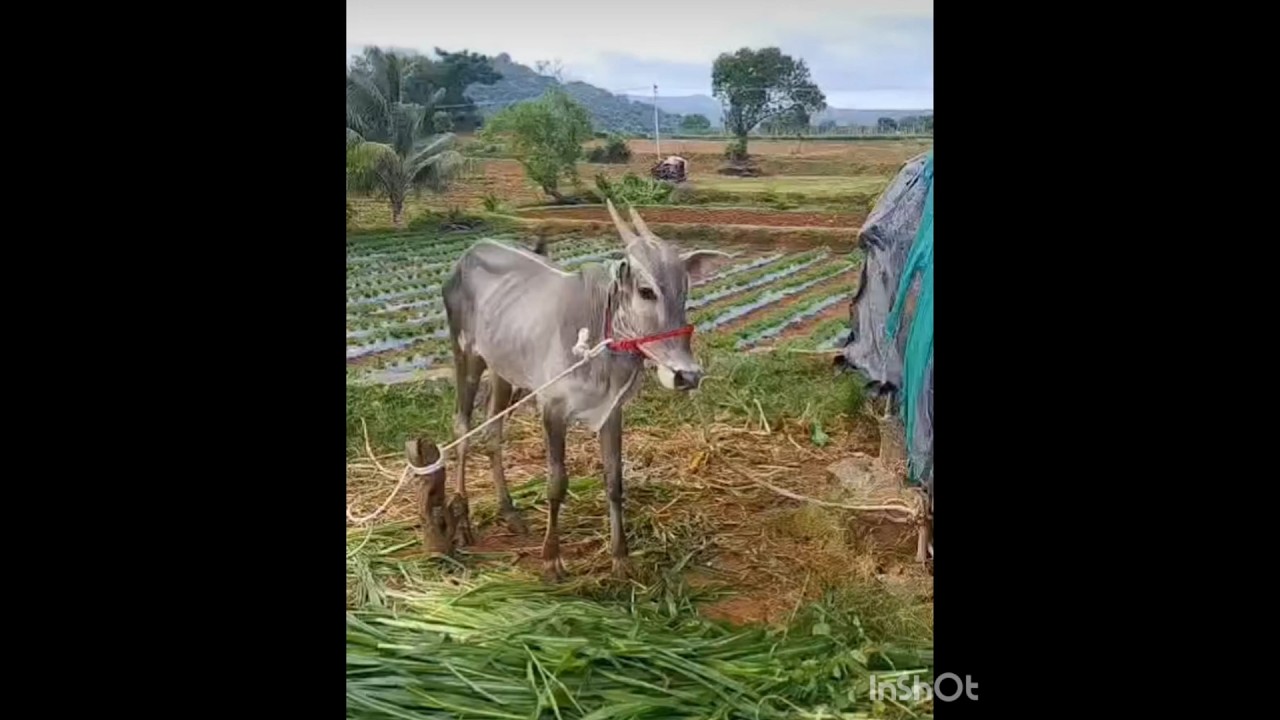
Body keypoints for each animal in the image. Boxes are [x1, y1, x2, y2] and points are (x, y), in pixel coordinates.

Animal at [442, 199, 729, 580]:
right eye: (646, 290)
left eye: (685, 290)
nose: (688, 375)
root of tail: (471, 251)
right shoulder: (552, 408)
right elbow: (556, 483)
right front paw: (551, 558)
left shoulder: (613, 412)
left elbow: (614, 481)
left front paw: (620, 556)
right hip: (467, 356)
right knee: (463, 428)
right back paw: (463, 518)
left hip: (504, 371)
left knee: (493, 434)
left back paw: (510, 512)